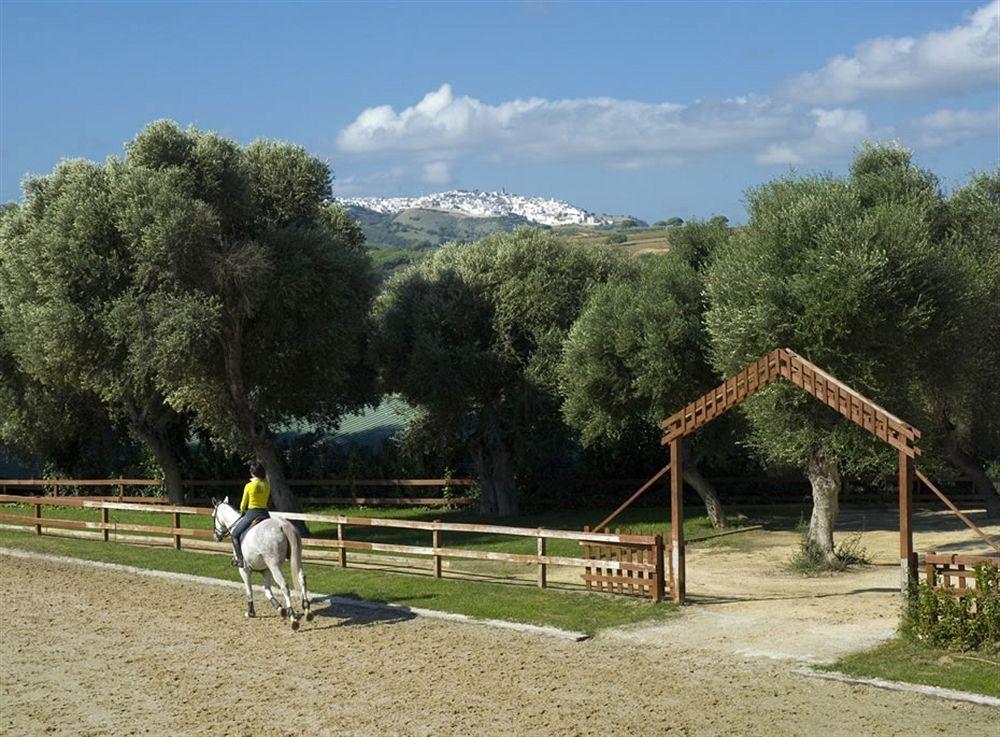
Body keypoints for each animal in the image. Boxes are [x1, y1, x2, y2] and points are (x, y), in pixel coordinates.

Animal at [213, 494, 314, 628]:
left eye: (213, 516)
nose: (216, 536)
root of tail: (282, 525)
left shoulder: (244, 570)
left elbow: (249, 590)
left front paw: (250, 612)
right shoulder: (265, 570)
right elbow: (267, 590)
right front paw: (280, 609)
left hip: (274, 565)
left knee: (284, 586)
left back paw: (293, 618)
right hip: (296, 558)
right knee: (301, 578)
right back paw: (307, 610)